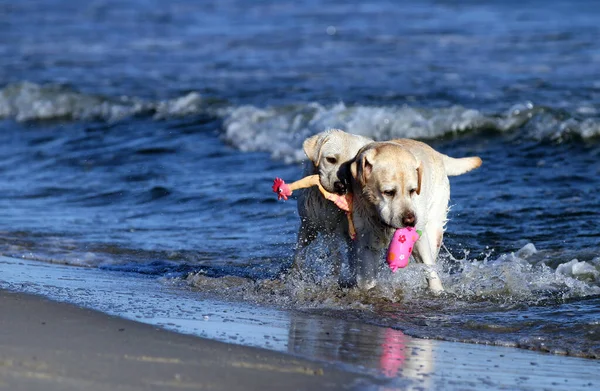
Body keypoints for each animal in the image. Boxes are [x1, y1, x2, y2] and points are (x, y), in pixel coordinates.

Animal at [346, 139, 482, 292]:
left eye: (412, 190)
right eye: (388, 192)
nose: (410, 220)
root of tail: (436, 153)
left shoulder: (420, 239)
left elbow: (429, 269)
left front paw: (438, 290)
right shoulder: (365, 242)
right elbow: (367, 278)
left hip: (434, 227)